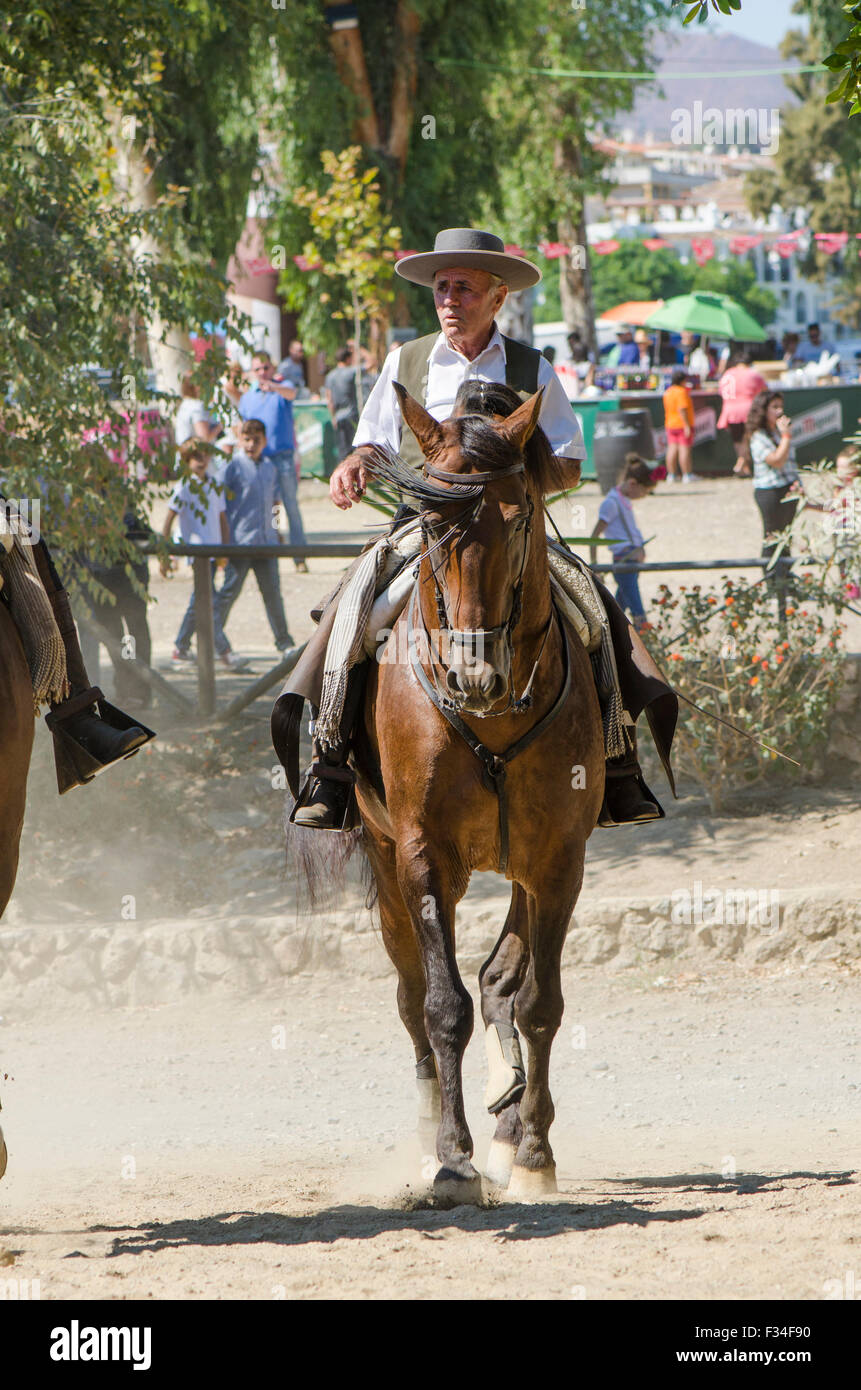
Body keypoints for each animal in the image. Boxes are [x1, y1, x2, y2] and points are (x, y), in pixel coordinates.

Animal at [343, 383, 606, 1206]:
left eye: (519, 517)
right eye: (432, 522)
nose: (472, 676)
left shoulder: (558, 859)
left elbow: (537, 1003)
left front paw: (532, 1154)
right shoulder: (422, 856)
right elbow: (442, 1005)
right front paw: (451, 1161)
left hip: (523, 867)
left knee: (503, 980)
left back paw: (510, 1130)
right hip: (387, 862)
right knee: (412, 997)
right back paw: (436, 1134)